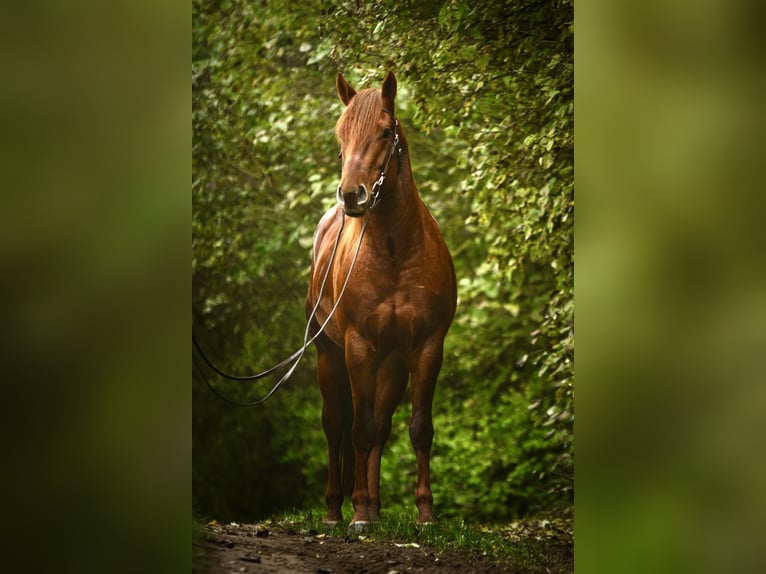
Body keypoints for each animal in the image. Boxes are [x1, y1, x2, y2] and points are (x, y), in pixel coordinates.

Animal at [308, 73, 460, 532]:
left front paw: (424, 513)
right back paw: (337, 509)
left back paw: (373, 506)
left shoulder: (427, 347)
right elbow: (358, 428)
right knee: (336, 424)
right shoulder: (358, 348)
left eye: (385, 132)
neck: (395, 252)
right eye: (340, 135)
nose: (351, 196)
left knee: (381, 427)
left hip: (390, 365)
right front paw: (357, 513)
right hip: (329, 356)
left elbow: (418, 428)